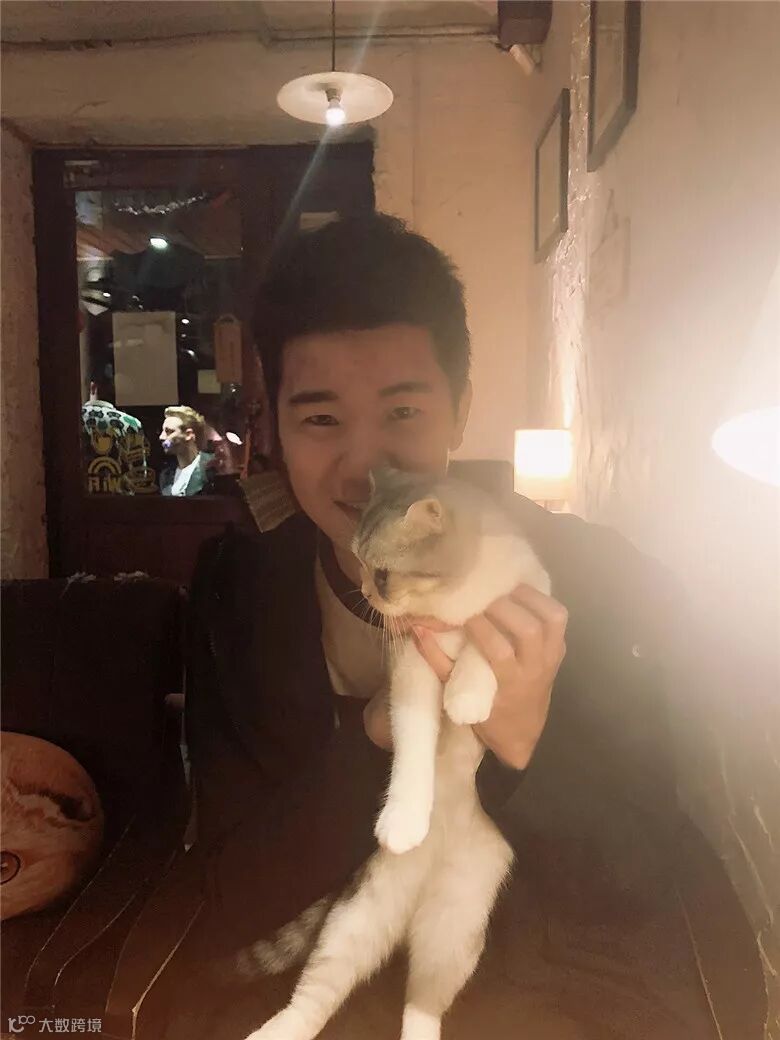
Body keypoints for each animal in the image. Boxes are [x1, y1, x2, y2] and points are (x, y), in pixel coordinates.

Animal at [241, 468, 551, 1040]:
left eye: (382, 573)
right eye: (360, 565)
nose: (365, 591)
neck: (451, 601)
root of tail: (413, 910)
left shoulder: (526, 599)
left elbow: (484, 645)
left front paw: (468, 694)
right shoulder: (410, 668)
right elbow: (413, 749)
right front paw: (404, 820)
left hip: (455, 930)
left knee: (423, 1002)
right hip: (355, 921)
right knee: (314, 997)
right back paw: (275, 1031)